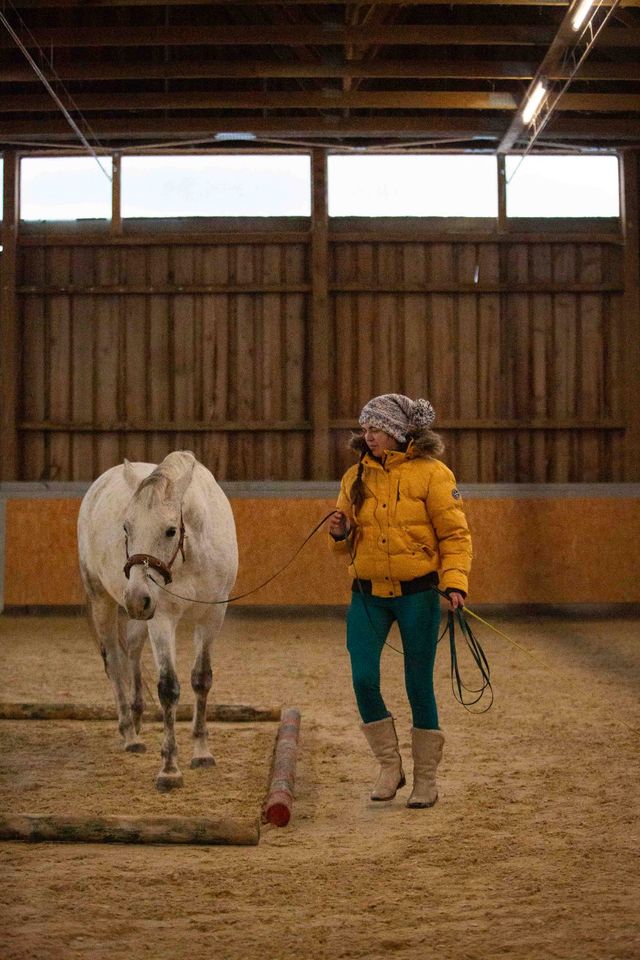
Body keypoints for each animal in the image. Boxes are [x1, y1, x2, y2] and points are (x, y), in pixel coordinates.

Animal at [77, 454, 238, 792]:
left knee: (132, 652)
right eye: (126, 527)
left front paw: (201, 752)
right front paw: (169, 768)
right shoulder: (161, 618)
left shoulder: (211, 618)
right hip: (102, 600)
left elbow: (201, 679)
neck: (190, 555)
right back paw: (129, 733)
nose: (136, 599)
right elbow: (168, 688)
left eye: (170, 530)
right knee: (115, 663)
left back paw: (137, 717)